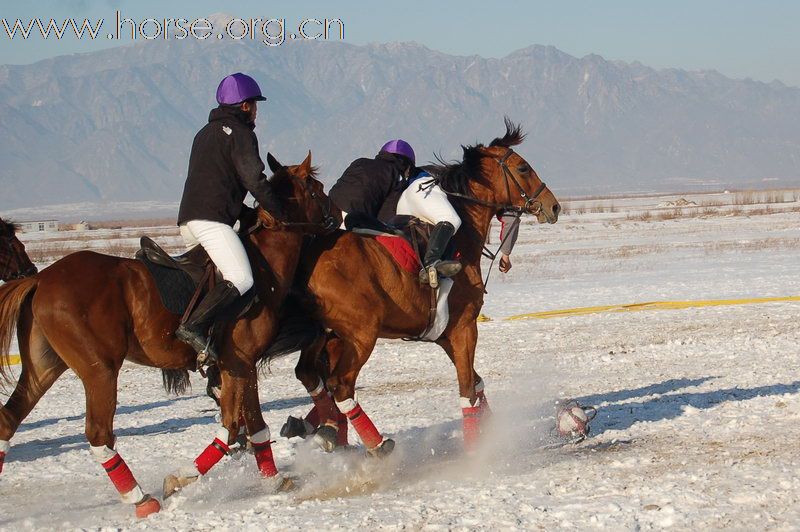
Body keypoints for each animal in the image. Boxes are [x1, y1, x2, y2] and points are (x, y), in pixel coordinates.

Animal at [0, 153, 338, 516]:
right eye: (317, 189)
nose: (337, 218)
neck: (264, 270)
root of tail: (40, 279)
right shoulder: (241, 363)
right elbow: (235, 425)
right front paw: (182, 478)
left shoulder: (237, 366)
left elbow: (253, 425)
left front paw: (273, 479)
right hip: (99, 370)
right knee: (99, 434)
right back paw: (140, 499)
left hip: (44, 367)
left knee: (8, 419)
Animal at [278, 119, 560, 454]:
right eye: (523, 168)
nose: (554, 207)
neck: (462, 236)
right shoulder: (465, 327)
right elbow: (467, 388)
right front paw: (478, 448)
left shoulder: (446, 334)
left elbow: (476, 382)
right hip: (360, 335)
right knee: (341, 385)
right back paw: (375, 444)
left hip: (327, 335)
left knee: (311, 375)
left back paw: (329, 430)